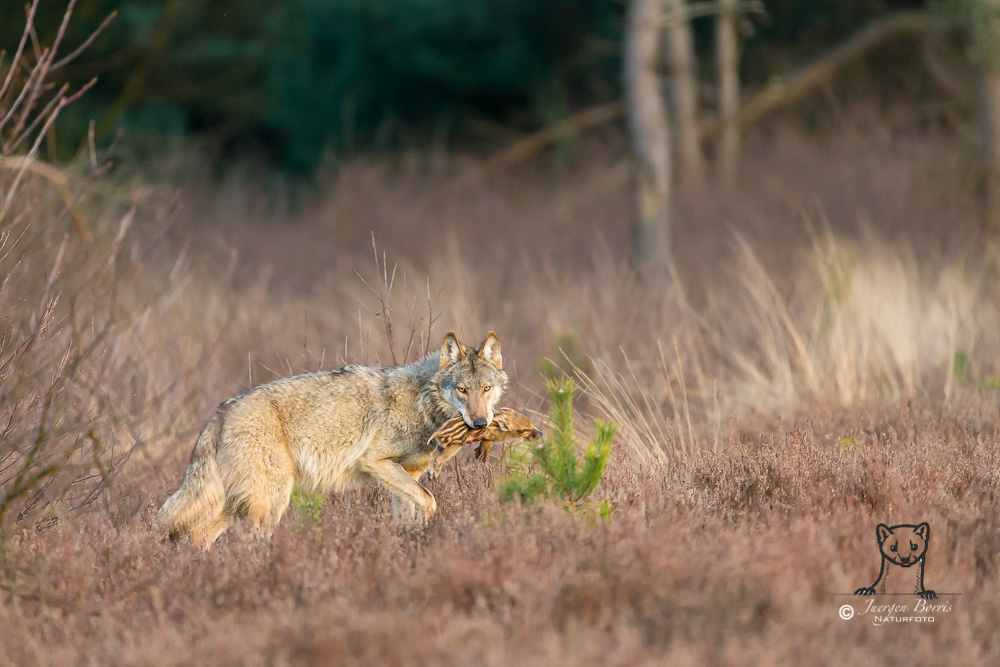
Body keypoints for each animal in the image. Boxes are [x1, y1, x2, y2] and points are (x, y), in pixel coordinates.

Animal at [157, 332, 508, 544]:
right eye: (462, 389)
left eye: (485, 388)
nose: (479, 423)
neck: (422, 400)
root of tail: (221, 411)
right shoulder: (376, 463)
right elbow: (430, 500)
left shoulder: (405, 476)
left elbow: (412, 511)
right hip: (270, 502)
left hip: (243, 503)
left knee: (198, 535)